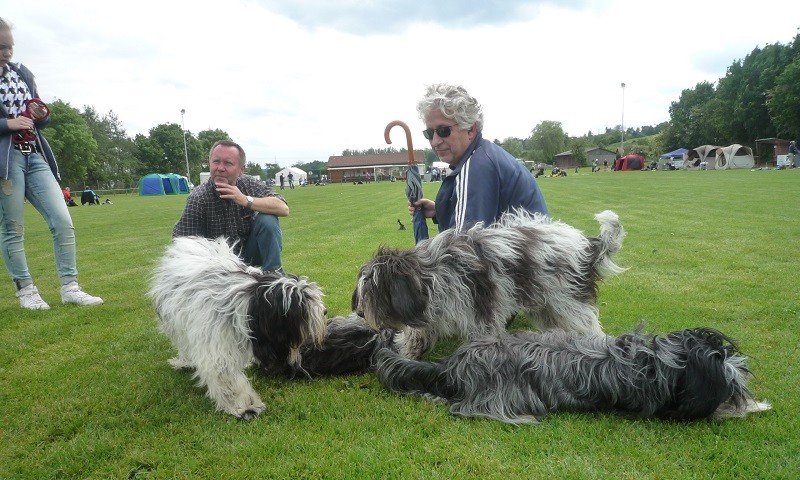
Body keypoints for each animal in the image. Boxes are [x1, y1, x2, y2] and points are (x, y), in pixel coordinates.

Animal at [148, 237, 326, 420]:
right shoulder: (216, 344)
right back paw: (185, 362)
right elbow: (226, 376)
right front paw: (245, 406)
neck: (248, 306)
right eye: (302, 304)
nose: (325, 311)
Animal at [354, 208, 628, 358]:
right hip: (545, 306)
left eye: (373, 292)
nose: (359, 313)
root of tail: (587, 244)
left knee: (591, 328)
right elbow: (417, 334)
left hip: (570, 302)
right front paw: (407, 353)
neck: (431, 275)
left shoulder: (479, 311)